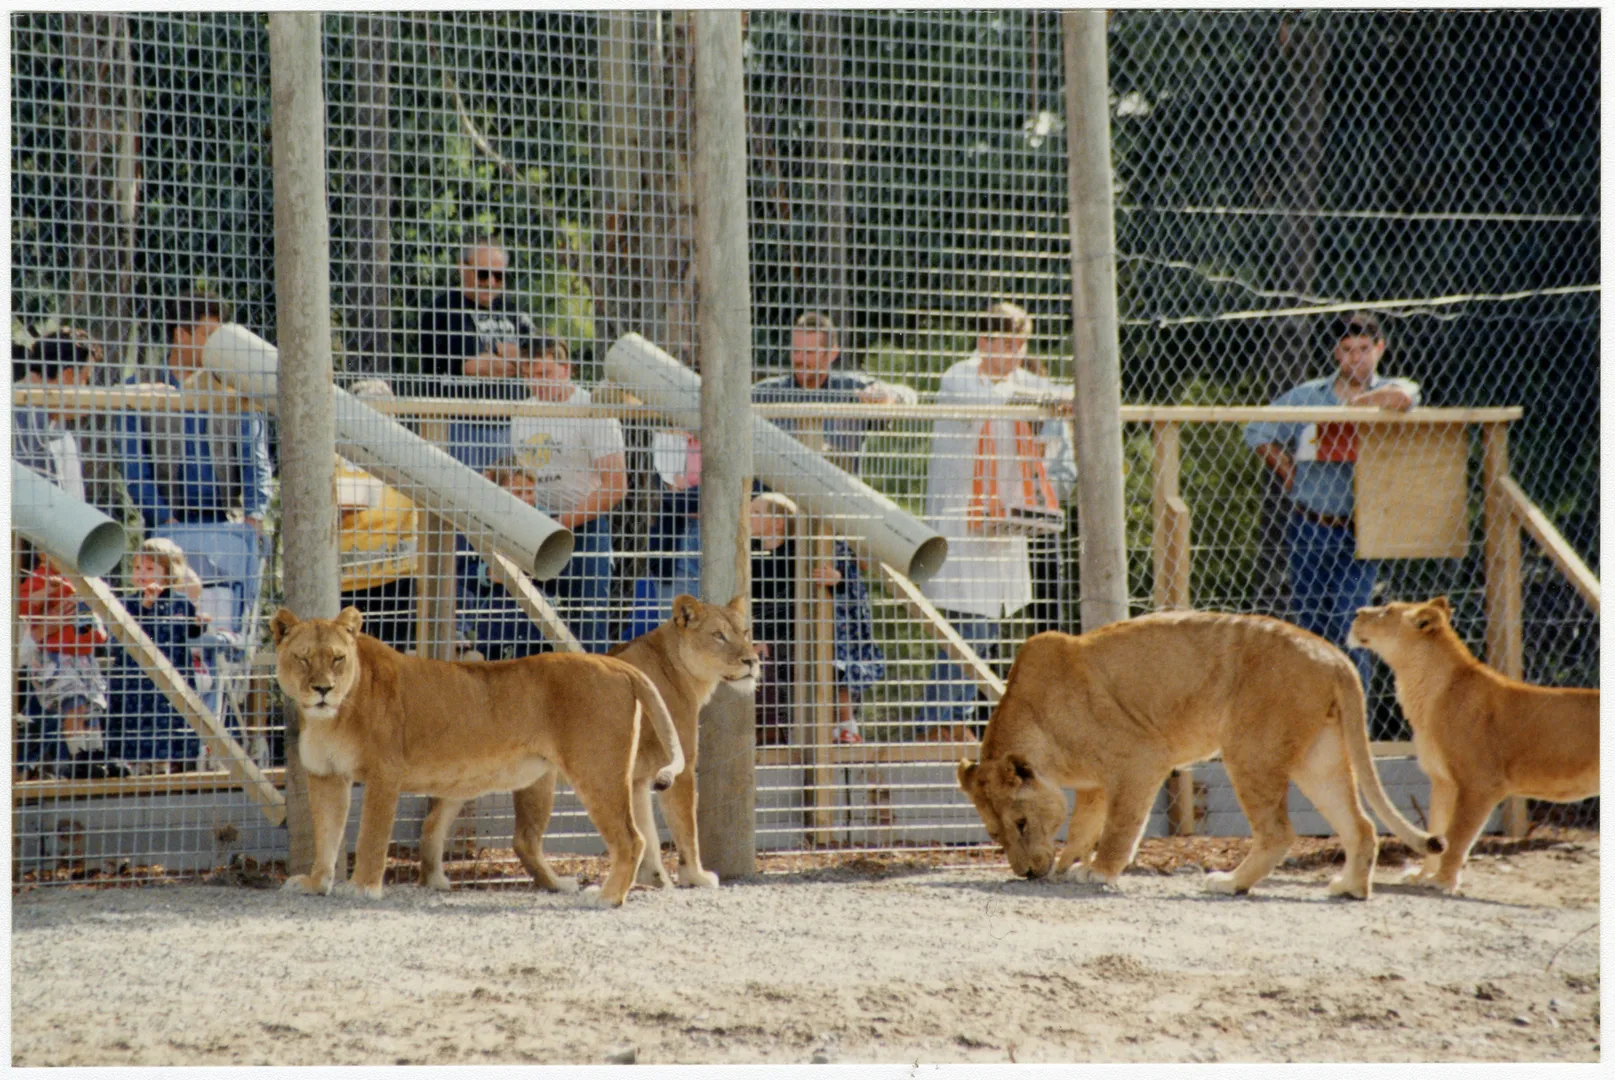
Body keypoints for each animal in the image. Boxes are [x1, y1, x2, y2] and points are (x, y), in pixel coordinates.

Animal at [271, 606, 685, 907]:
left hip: (596, 770)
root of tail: (614, 663)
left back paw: (607, 898)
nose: (322, 689)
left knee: (631, 839)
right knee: (528, 840)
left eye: (337, 658)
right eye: (303, 659)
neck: (331, 716)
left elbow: (371, 835)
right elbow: (326, 835)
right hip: (542, 779)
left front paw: (361, 887)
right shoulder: (326, 777)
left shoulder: (384, 774)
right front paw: (315, 882)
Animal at [468, 595, 760, 891]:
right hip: (545, 777)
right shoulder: (681, 766)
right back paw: (562, 884)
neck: (678, 669)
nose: (752, 660)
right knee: (525, 840)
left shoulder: (638, 779)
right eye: (719, 636)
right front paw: (696, 876)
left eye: (745, 633)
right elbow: (686, 828)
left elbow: (648, 833)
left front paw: (654, 878)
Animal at [957, 611, 1444, 899]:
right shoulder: (1094, 785)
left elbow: (1119, 826)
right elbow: (1083, 826)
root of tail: (1333, 654)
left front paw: (1099, 872)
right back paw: (1350, 887)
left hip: (1250, 749)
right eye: (995, 834)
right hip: (1316, 757)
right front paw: (1066, 863)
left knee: (1278, 833)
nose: (1026, 874)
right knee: (1360, 824)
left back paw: (1229, 883)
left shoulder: (1141, 758)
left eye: (1021, 824)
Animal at [1348, 596, 1599, 894]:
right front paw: (1423, 875)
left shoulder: (1480, 783)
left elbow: (1458, 836)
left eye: (1387, 611)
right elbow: (1438, 826)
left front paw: (1442, 881)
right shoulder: (1443, 781)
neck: (1422, 688)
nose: (1356, 612)